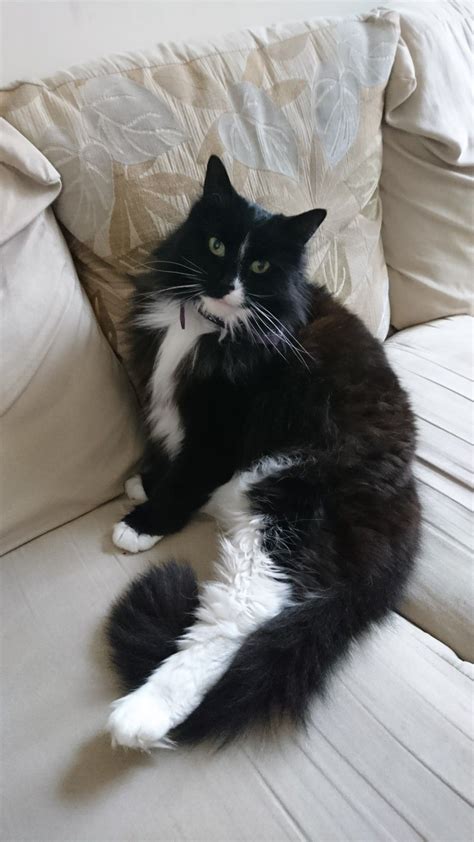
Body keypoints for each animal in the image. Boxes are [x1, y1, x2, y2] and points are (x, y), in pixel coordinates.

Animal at [105, 158, 420, 748]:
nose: (226, 286)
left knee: (239, 619)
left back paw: (141, 714)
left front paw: (143, 522)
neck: (209, 326)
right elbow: (174, 463)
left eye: (258, 265)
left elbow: (186, 475)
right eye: (215, 246)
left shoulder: (218, 431)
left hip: (282, 503)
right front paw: (145, 481)